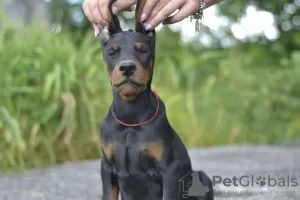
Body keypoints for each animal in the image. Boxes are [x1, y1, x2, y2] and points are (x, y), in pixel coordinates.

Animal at [98, 0, 213, 199]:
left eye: (142, 50)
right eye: (113, 53)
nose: (127, 68)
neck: (131, 116)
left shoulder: (169, 170)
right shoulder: (107, 167)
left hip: (201, 178)